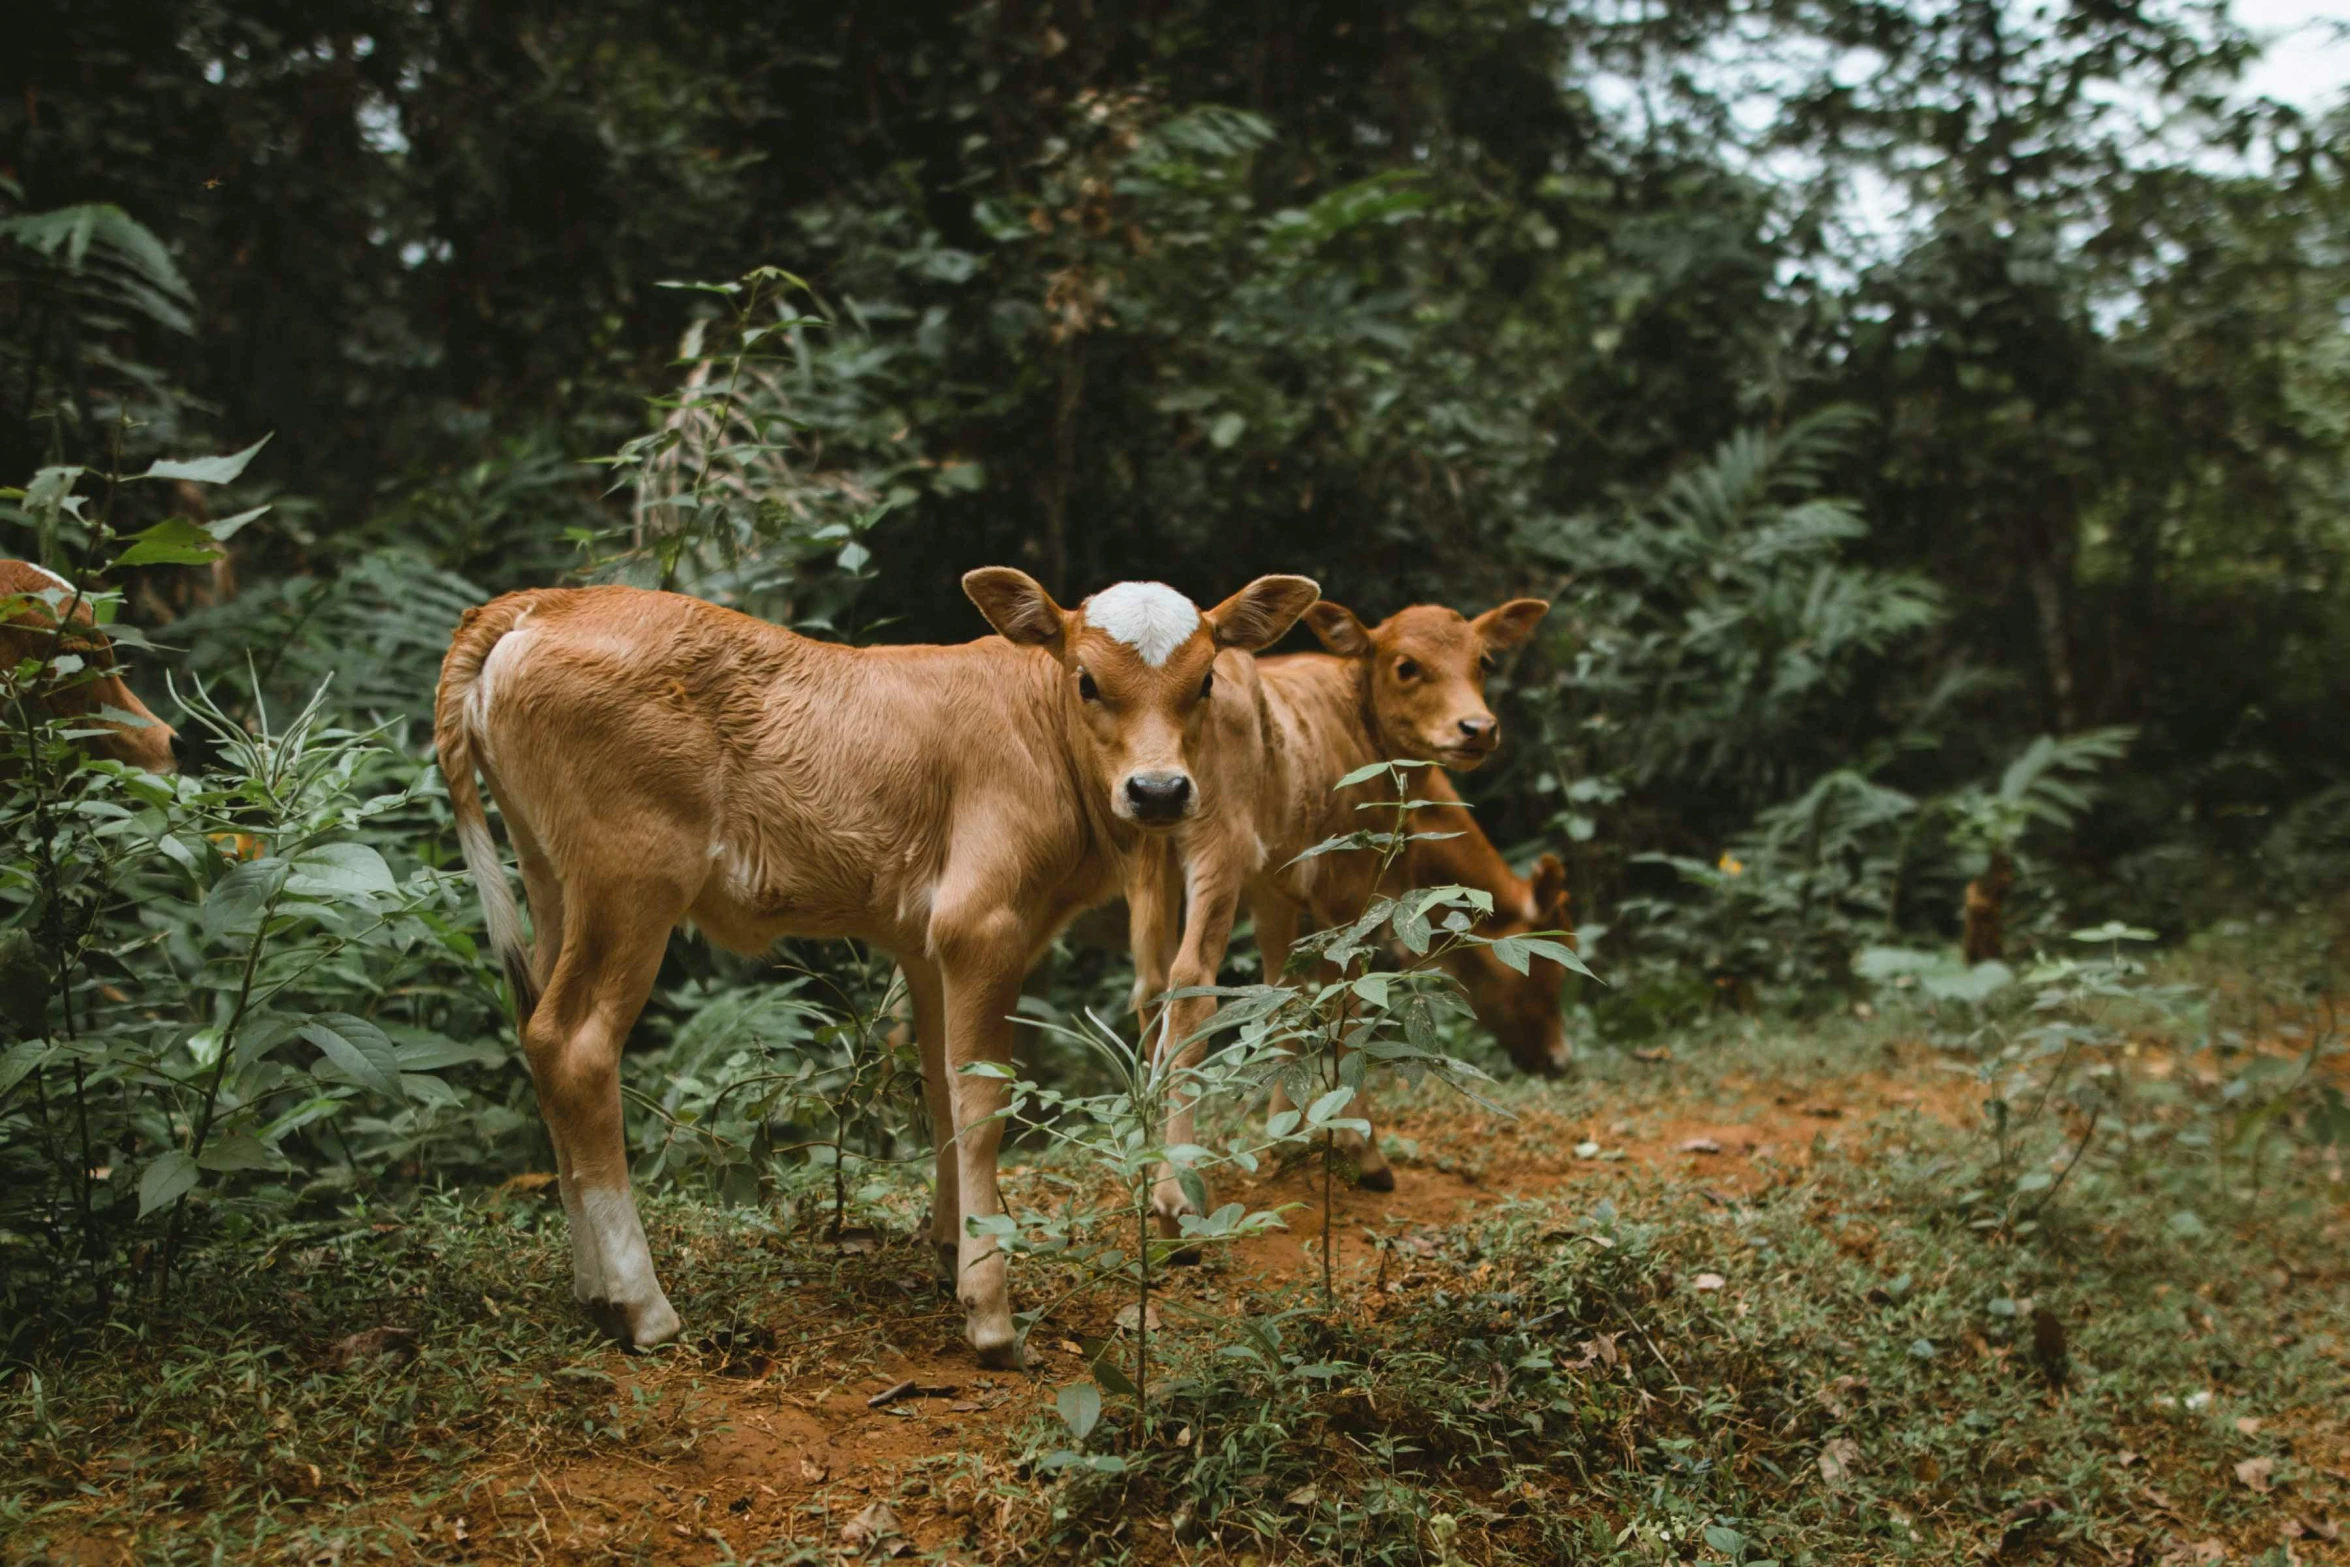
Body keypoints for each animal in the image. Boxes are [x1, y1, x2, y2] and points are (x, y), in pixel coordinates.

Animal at [437, 566, 1325, 1362]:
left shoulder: (926, 943)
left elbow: (940, 1089)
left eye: (1204, 680)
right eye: (1087, 680)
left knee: (539, 1037)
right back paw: (641, 1304)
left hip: (554, 881)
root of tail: (544, 601)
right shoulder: (982, 923)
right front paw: (990, 1308)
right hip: (632, 882)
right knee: (578, 1046)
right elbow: (982, 1103)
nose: (1159, 790)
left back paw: (593, 1292)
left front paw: (950, 1246)